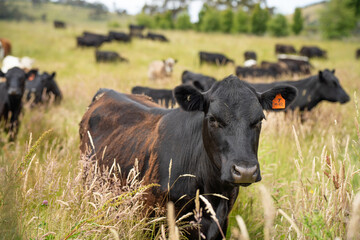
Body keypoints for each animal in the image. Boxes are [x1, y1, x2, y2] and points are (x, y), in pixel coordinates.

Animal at [80, 75, 296, 240]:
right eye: (213, 119)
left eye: (259, 119)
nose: (245, 171)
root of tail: (107, 92)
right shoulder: (151, 220)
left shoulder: (220, 224)